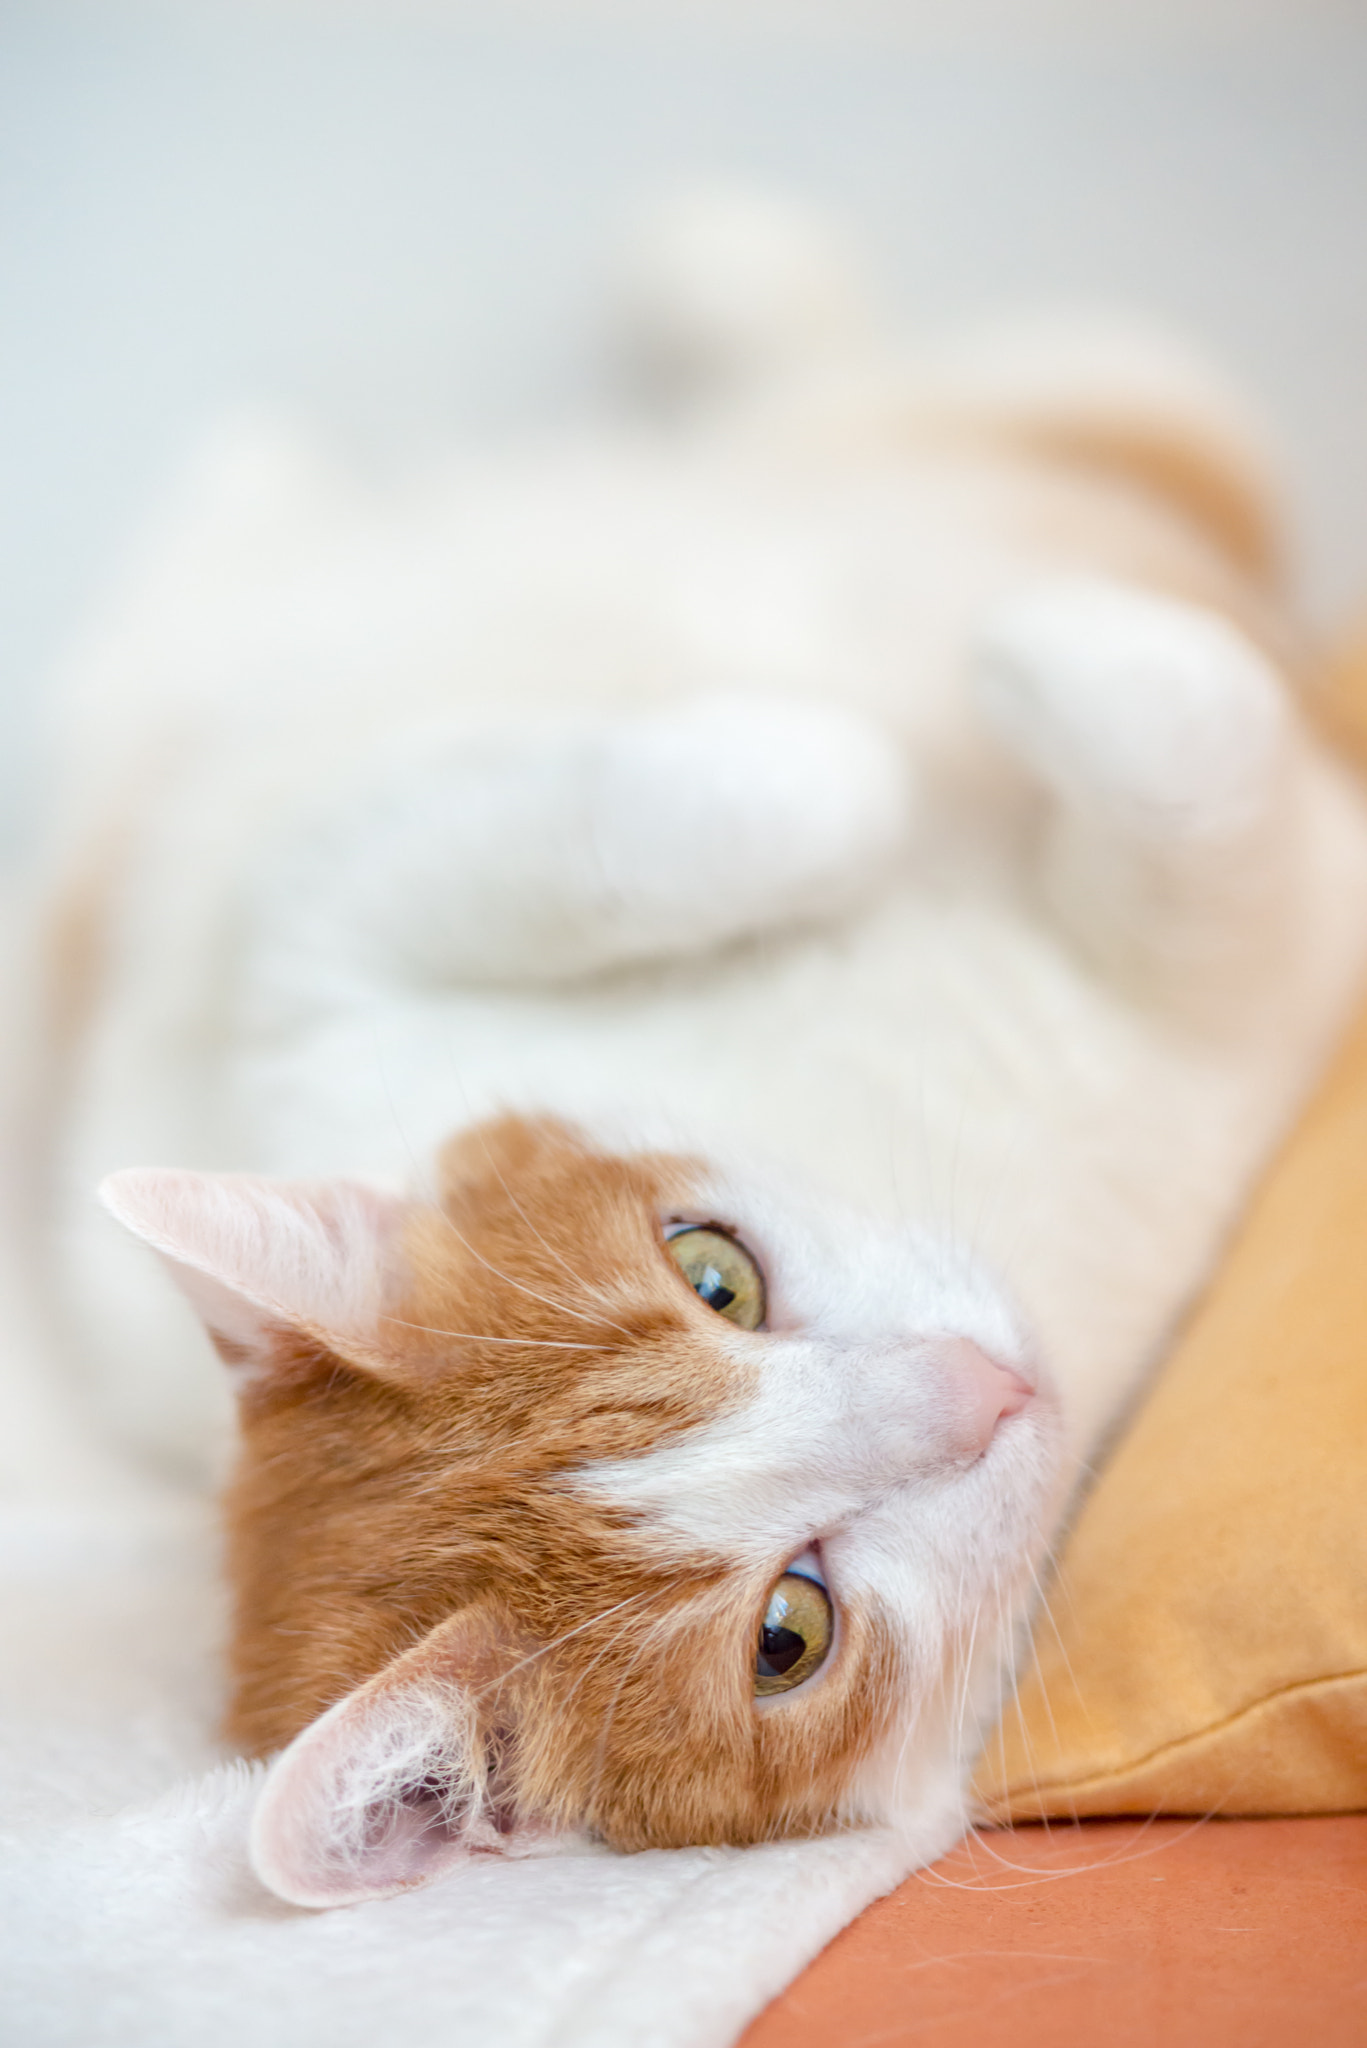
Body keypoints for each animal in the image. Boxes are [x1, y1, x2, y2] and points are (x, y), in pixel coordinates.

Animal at [42, 188, 1367, 1900]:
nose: (982, 1389)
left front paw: (929, 694)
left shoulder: (326, 954)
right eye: (789, 1633)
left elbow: (775, 779)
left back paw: (730, 286)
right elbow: (1197, 770)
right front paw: (1010, 673)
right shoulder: (1272, 953)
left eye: (712, 1271)